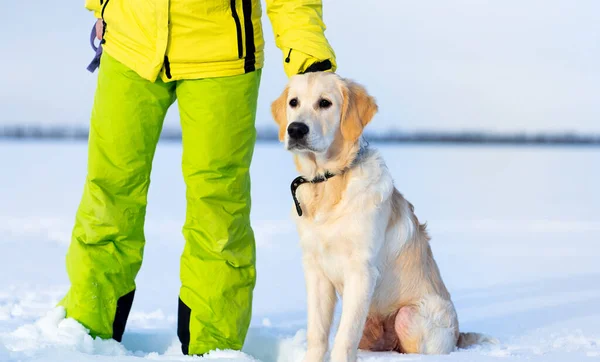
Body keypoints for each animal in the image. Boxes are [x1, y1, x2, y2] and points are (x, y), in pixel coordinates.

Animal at [272, 71, 496, 362]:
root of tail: (458, 335)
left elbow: (344, 337)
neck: (329, 183)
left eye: (325, 103)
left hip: (408, 317)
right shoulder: (315, 269)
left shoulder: (361, 270)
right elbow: (317, 334)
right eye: (294, 102)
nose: (296, 130)